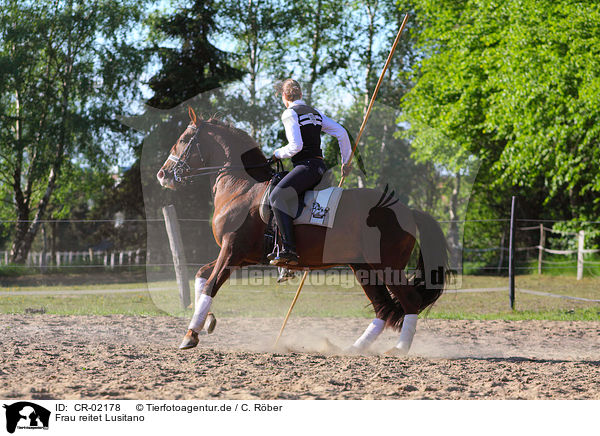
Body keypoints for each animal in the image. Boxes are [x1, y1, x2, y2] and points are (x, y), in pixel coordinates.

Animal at [157, 108, 448, 354]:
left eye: (184, 139)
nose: (163, 174)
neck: (241, 187)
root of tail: (406, 210)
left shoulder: (231, 251)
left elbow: (210, 285)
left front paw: (191, 333)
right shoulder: (239, 256)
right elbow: (201, 275)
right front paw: (207, 321)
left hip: (388, 266)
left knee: (408, 301)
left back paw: (399, 349)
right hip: (363, 266)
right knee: (383, 307)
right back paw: (354, 348)